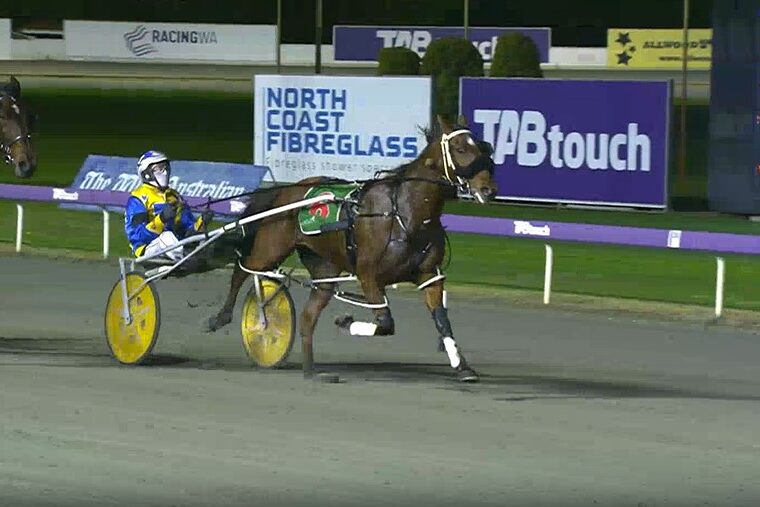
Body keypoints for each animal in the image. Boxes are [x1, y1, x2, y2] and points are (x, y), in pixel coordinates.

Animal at [205, 114, 499, 383]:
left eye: (484, 147)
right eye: (460, 148)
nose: (488, 189)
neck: (403, 214)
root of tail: (285, 192)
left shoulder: (429, 276)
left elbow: (441, 320)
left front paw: (463, 368)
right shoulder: (369, 275)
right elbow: (386, 324)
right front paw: (345, 322)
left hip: (324, 269)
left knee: (308, 316)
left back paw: (311, 371)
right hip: (271, 247)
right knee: (243, 270)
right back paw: (224, 318)